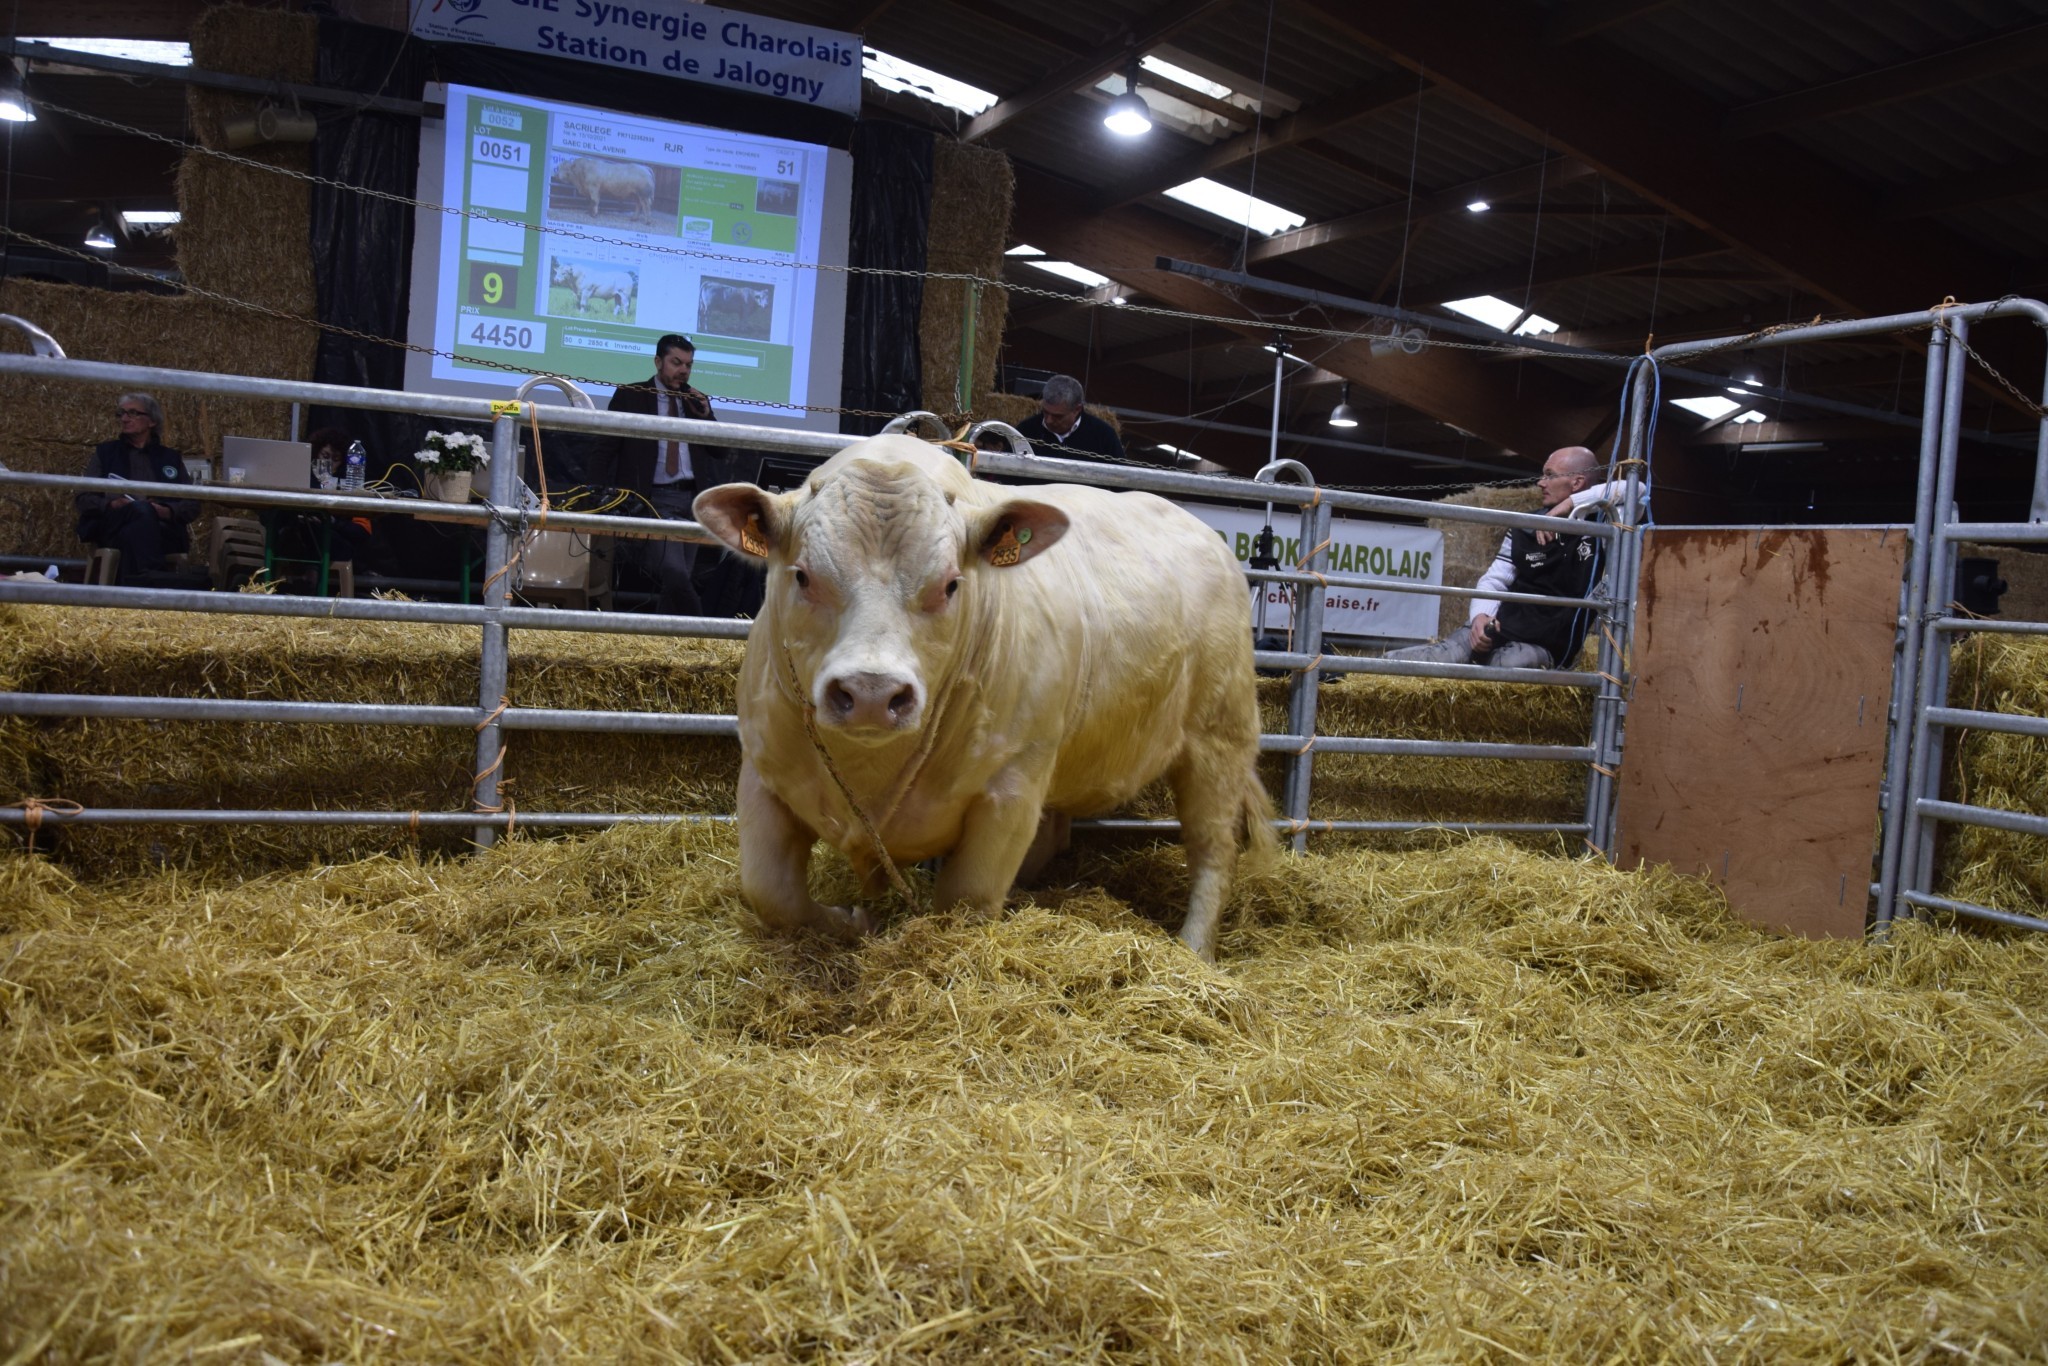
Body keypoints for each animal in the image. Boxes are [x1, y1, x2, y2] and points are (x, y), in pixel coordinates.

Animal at [692, 438, 1261, 962]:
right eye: (803, 576)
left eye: (950, 584)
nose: (872, 693)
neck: (871, 770)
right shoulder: (762, 770)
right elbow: (771, 892)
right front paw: (852, 920)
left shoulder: (1012, 786)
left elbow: (966, 900)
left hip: (1219, 741)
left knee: (1214, 850)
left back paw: (1195, 950)